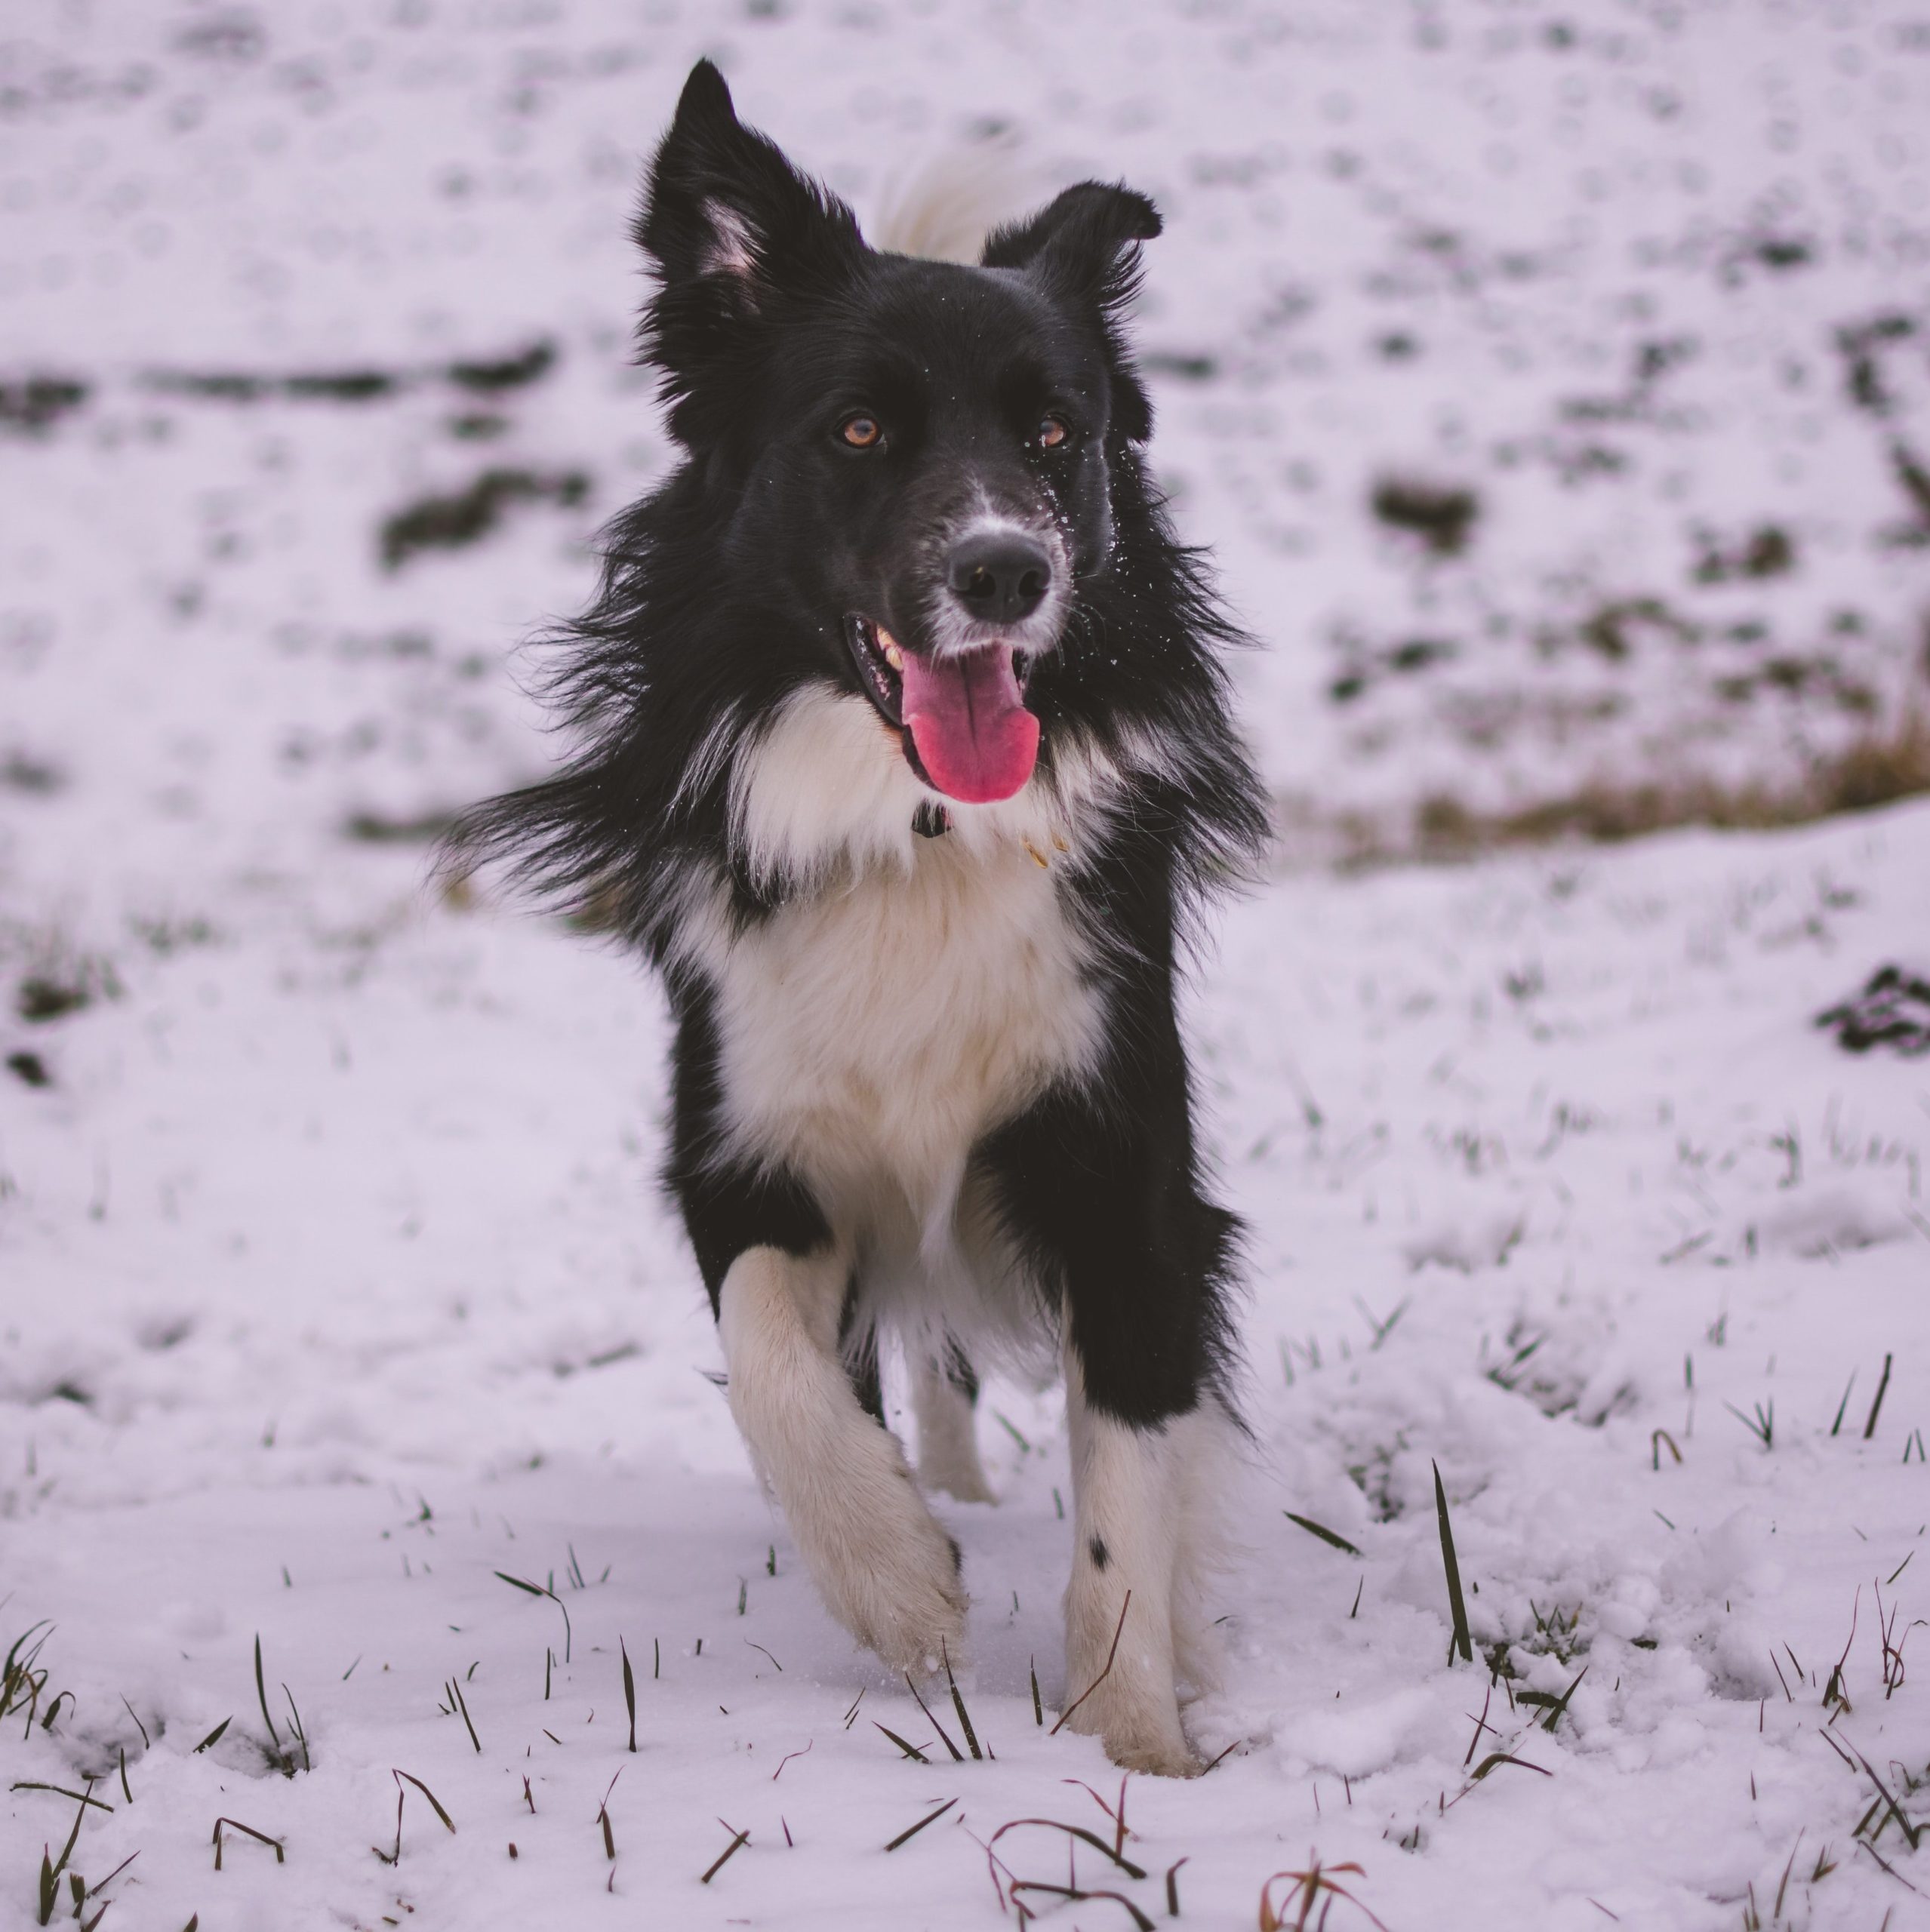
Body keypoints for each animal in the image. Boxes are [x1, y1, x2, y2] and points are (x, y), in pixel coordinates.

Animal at [450, 60, 1267, 1777]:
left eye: (1054, 432)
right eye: (861, 427)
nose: (1006, 571)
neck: (915, 824)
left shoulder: (1120, 1161)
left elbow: (1127, 1486)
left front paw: (1137, 1751)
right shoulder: (744, 1133)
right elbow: (775, 1363)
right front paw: (901, 1586)